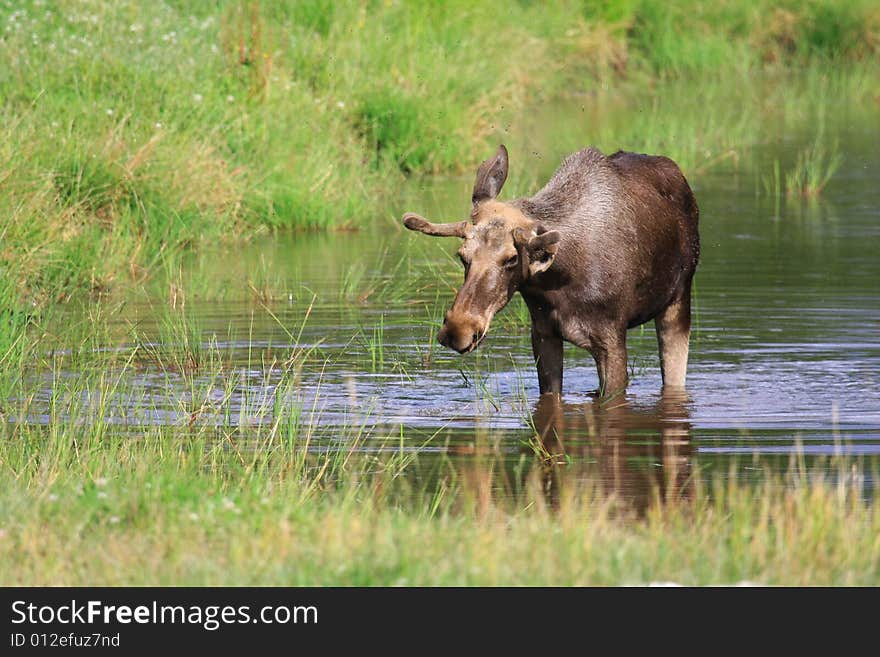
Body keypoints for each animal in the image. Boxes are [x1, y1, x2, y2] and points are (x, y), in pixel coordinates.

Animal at [406, 145, 700, 394]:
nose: (458, 329)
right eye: (462, 256)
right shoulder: (543, 334)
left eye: (511, 259)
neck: (560, 282)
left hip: (678, 300)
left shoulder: (611, 338)